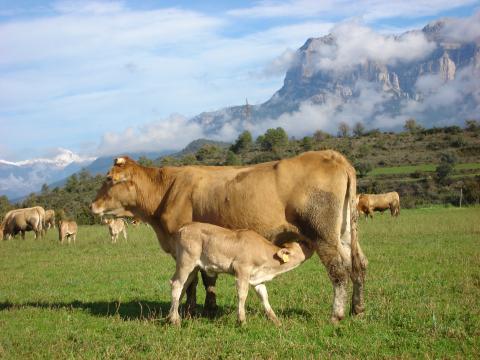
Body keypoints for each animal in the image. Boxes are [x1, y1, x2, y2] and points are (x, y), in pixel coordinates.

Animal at [169, 222, 316, 326]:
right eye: (302, 243)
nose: (312, 242)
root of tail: (184, 227)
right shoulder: (241, 269)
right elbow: (242, 294)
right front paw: (242, 320)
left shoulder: (257, 279)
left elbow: (264, 297)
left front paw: (275, 320)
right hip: (186, 262)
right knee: (176, 284)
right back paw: (175, 320)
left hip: (193, 268)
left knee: (183, 286)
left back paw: (171, 316)